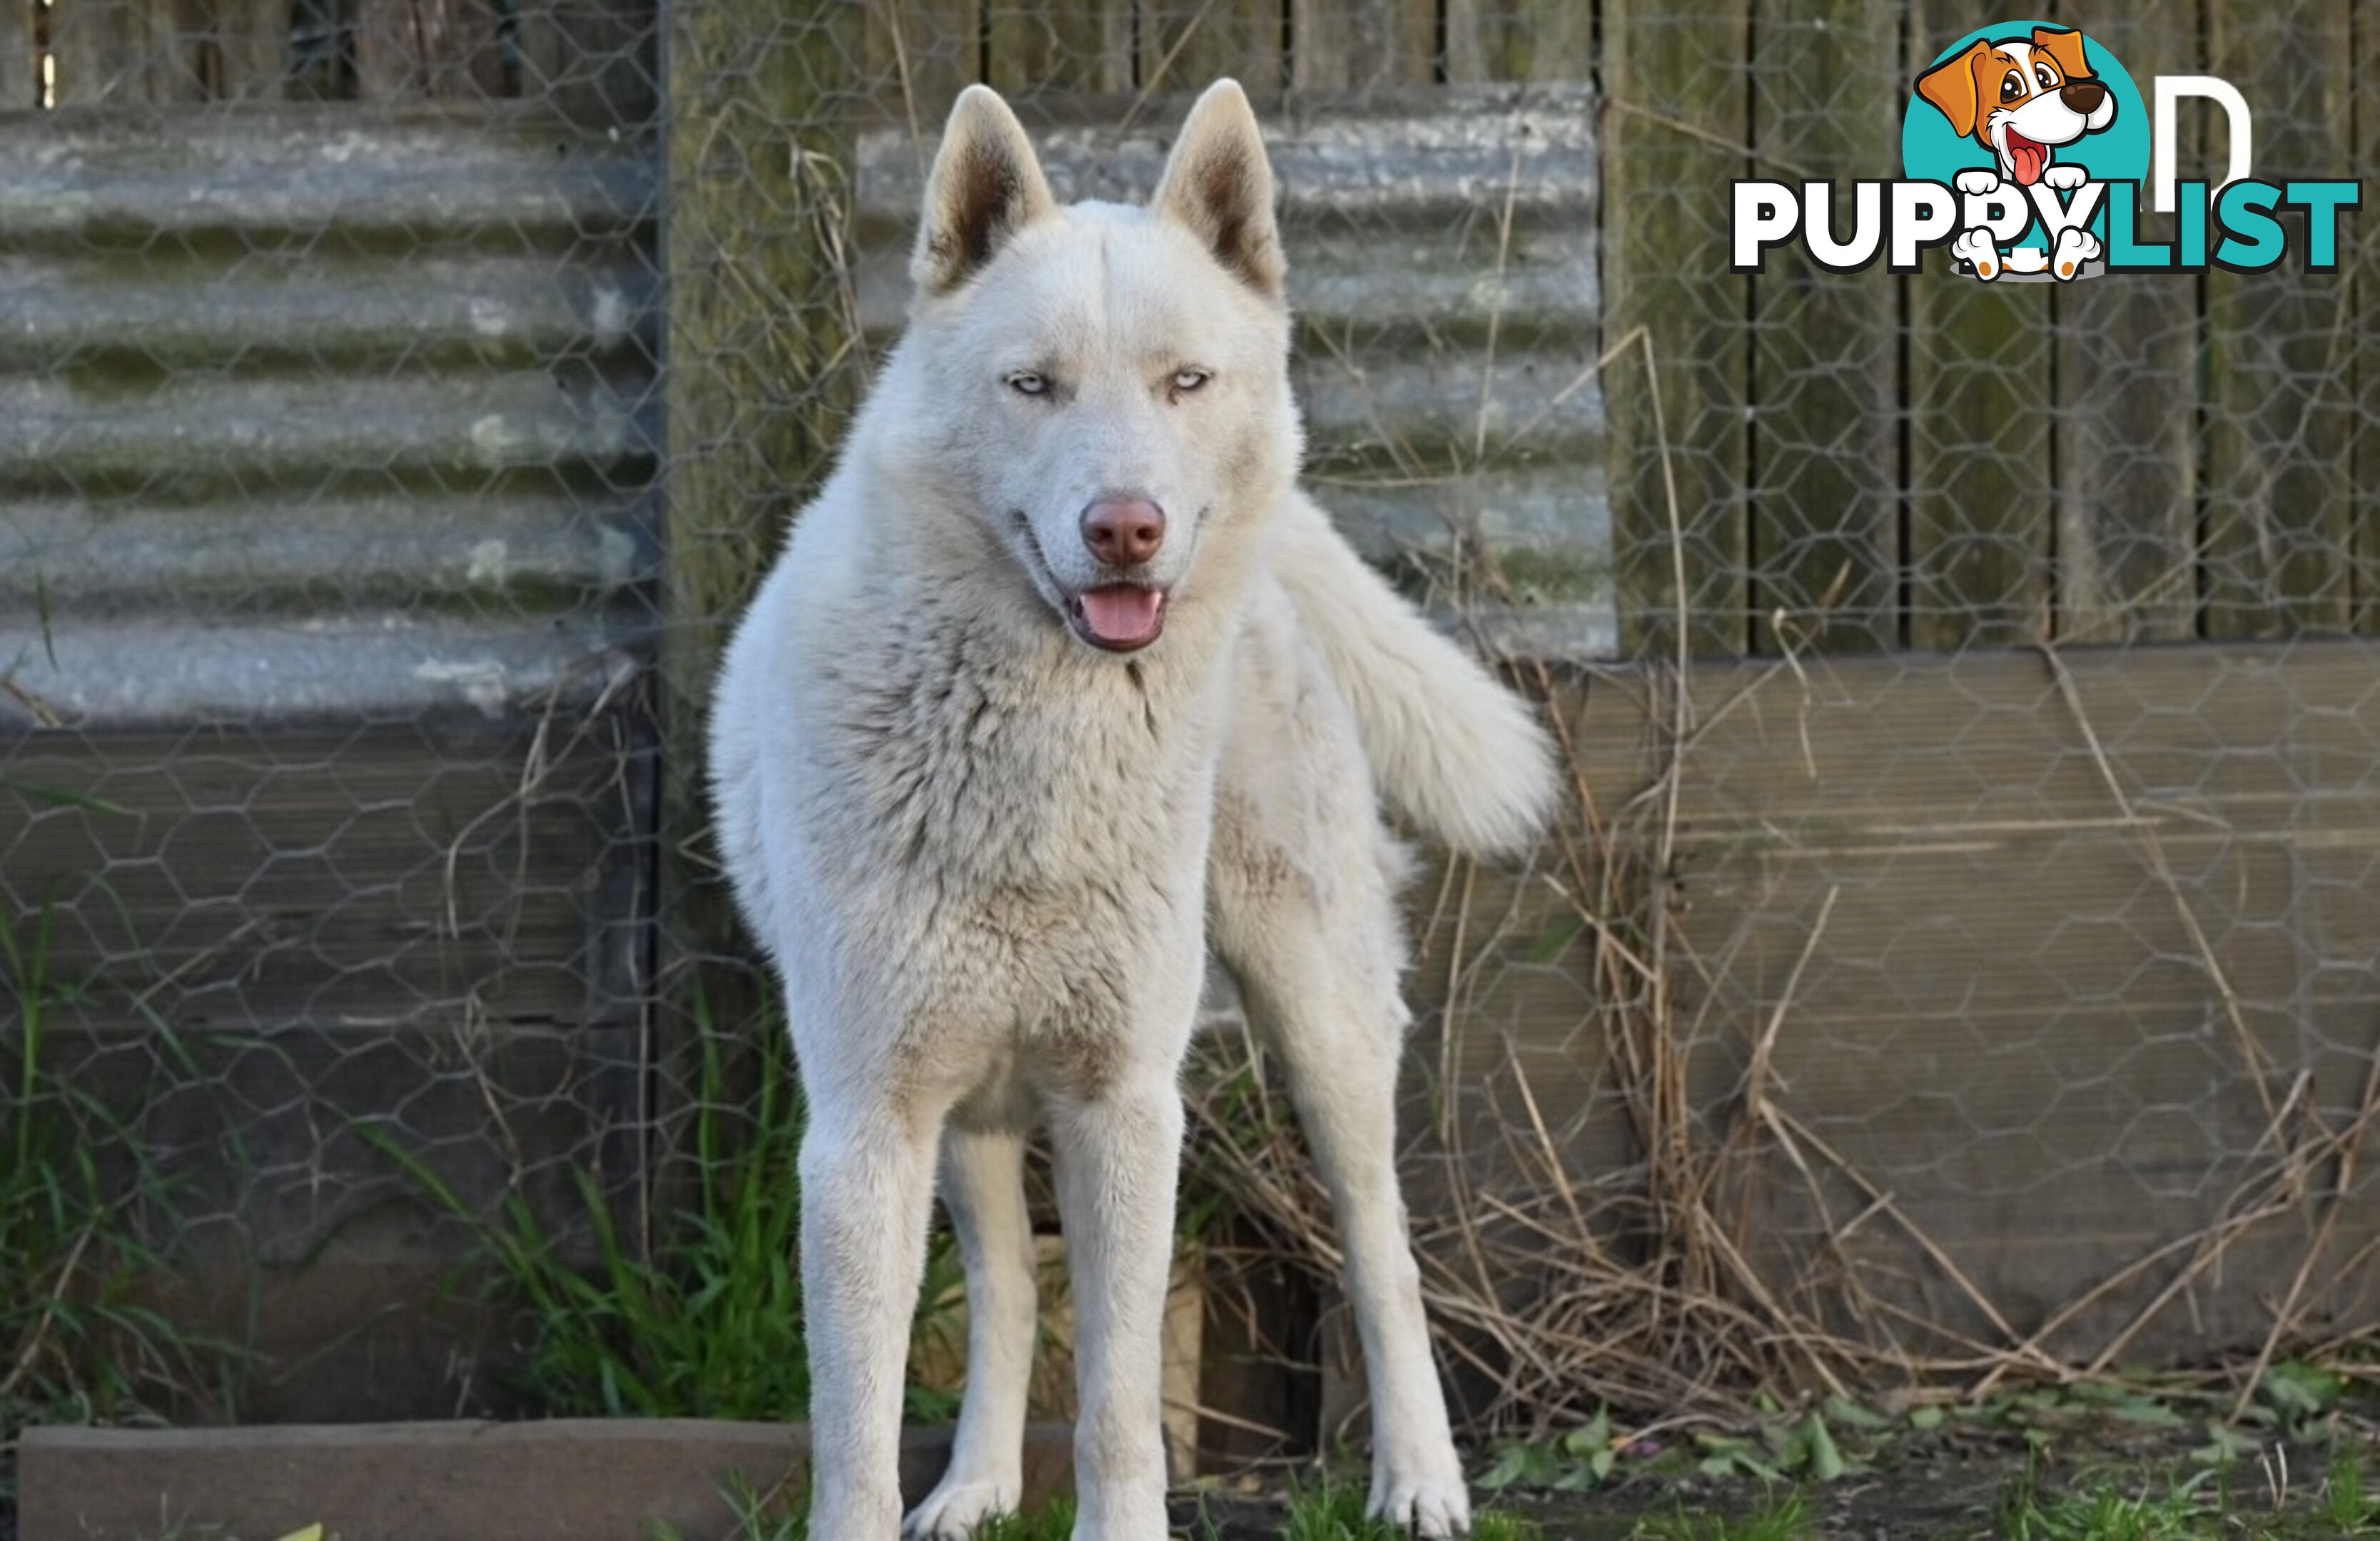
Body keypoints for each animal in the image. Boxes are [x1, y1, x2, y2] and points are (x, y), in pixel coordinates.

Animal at [704, 78, 1561, 1531]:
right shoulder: (868, 1130)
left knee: (1383, 1250)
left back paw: (1419, 1482)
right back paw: (979, 1485)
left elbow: (1118, 1411)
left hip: (1320, 1017)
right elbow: (858, 1433)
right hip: (974, 1110)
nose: (1127, 531)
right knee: (1002, 1283)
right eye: (1031, 386)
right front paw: (925, 1486)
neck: (1035, 746)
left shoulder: (1125, 1107)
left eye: (1185, 383)